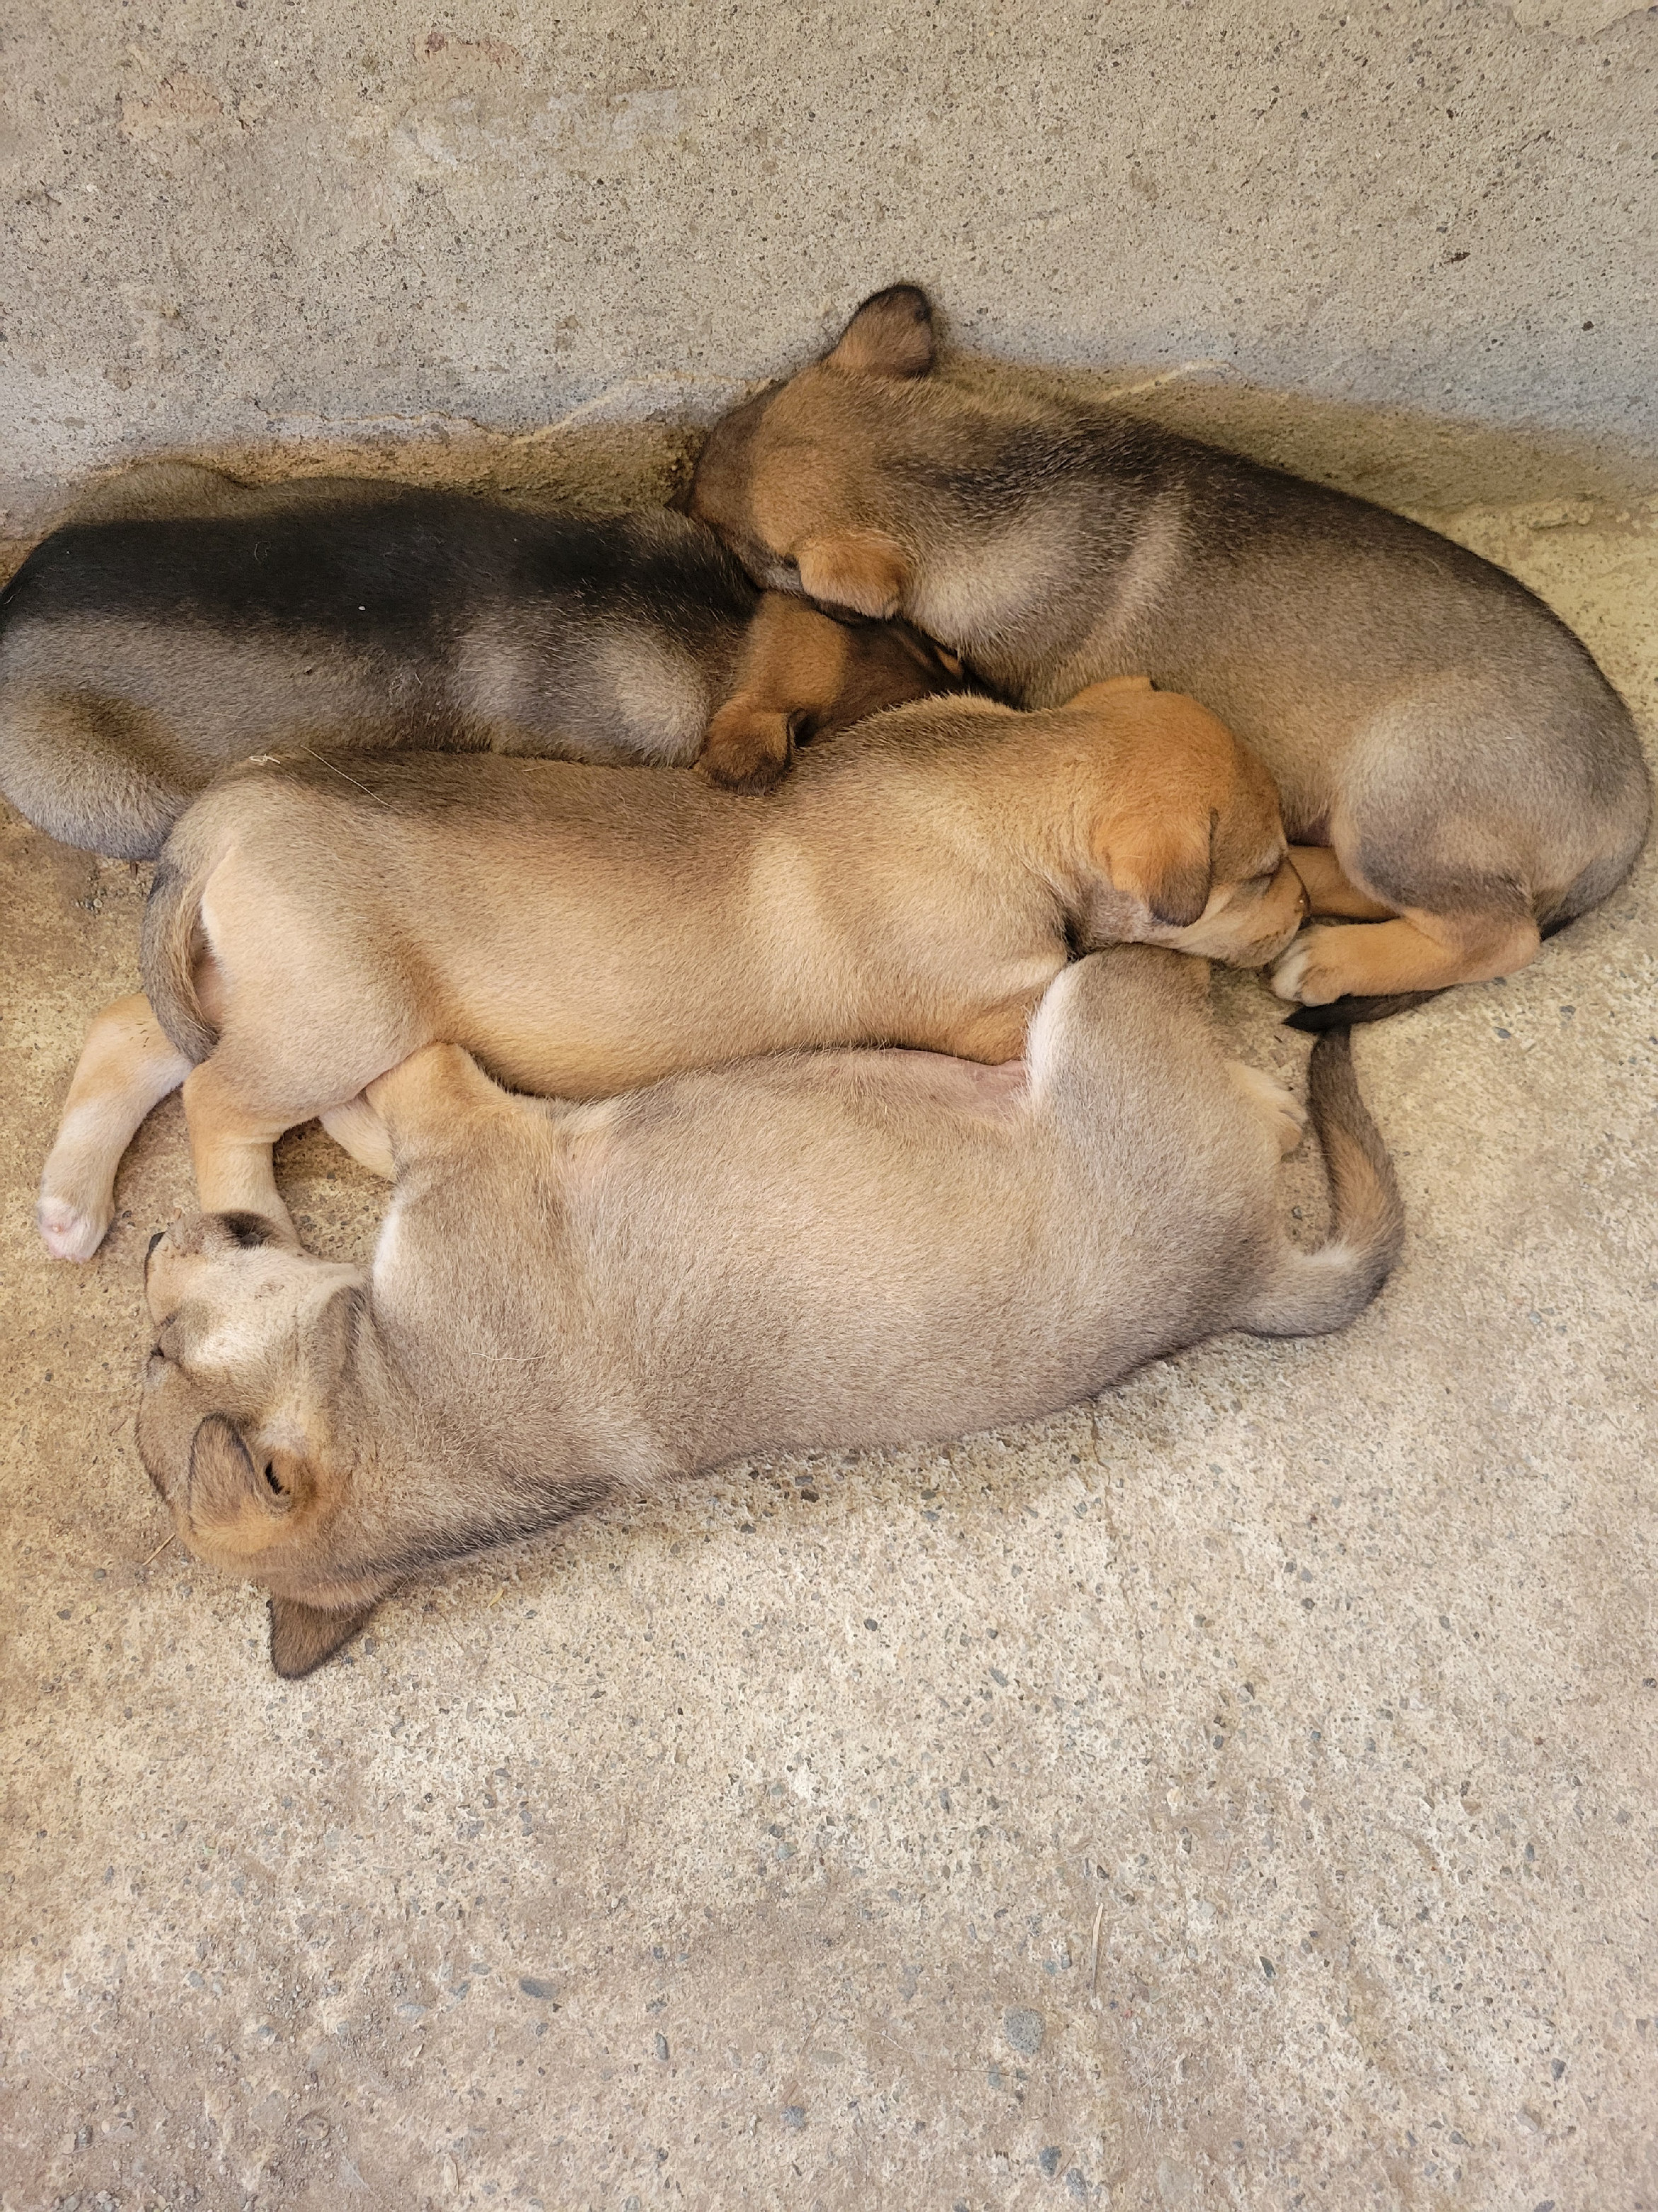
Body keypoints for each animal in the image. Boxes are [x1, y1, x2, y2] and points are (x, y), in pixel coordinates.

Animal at [39, 672, 1308, 1265]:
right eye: (1258, 873)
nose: (1301, 918)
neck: (1014, 776)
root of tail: (227, 811)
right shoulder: (996, 1006)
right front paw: (1262, 1095)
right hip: (333, 1017)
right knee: (219, 1103)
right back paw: (258, 1232)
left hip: (264, 993)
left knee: (128, 1033)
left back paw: (69, 1200)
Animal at [136, 951, 1405, 1672]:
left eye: (154, 1351)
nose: (150, 1240)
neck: (398, 1399)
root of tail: (1248, 1274)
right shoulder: (467, 1136)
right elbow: (410, 1079)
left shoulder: (467, 1133)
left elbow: (386, 1094)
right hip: (1091, 1021)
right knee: (1167, 992)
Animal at [689, 278, 1653, 1026]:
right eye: (752, 405)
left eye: (739, 541)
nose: (683, 485)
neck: (993, 488)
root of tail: (1628, 816)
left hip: (1400, 791)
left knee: (1499, 931)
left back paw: (1332, 962)